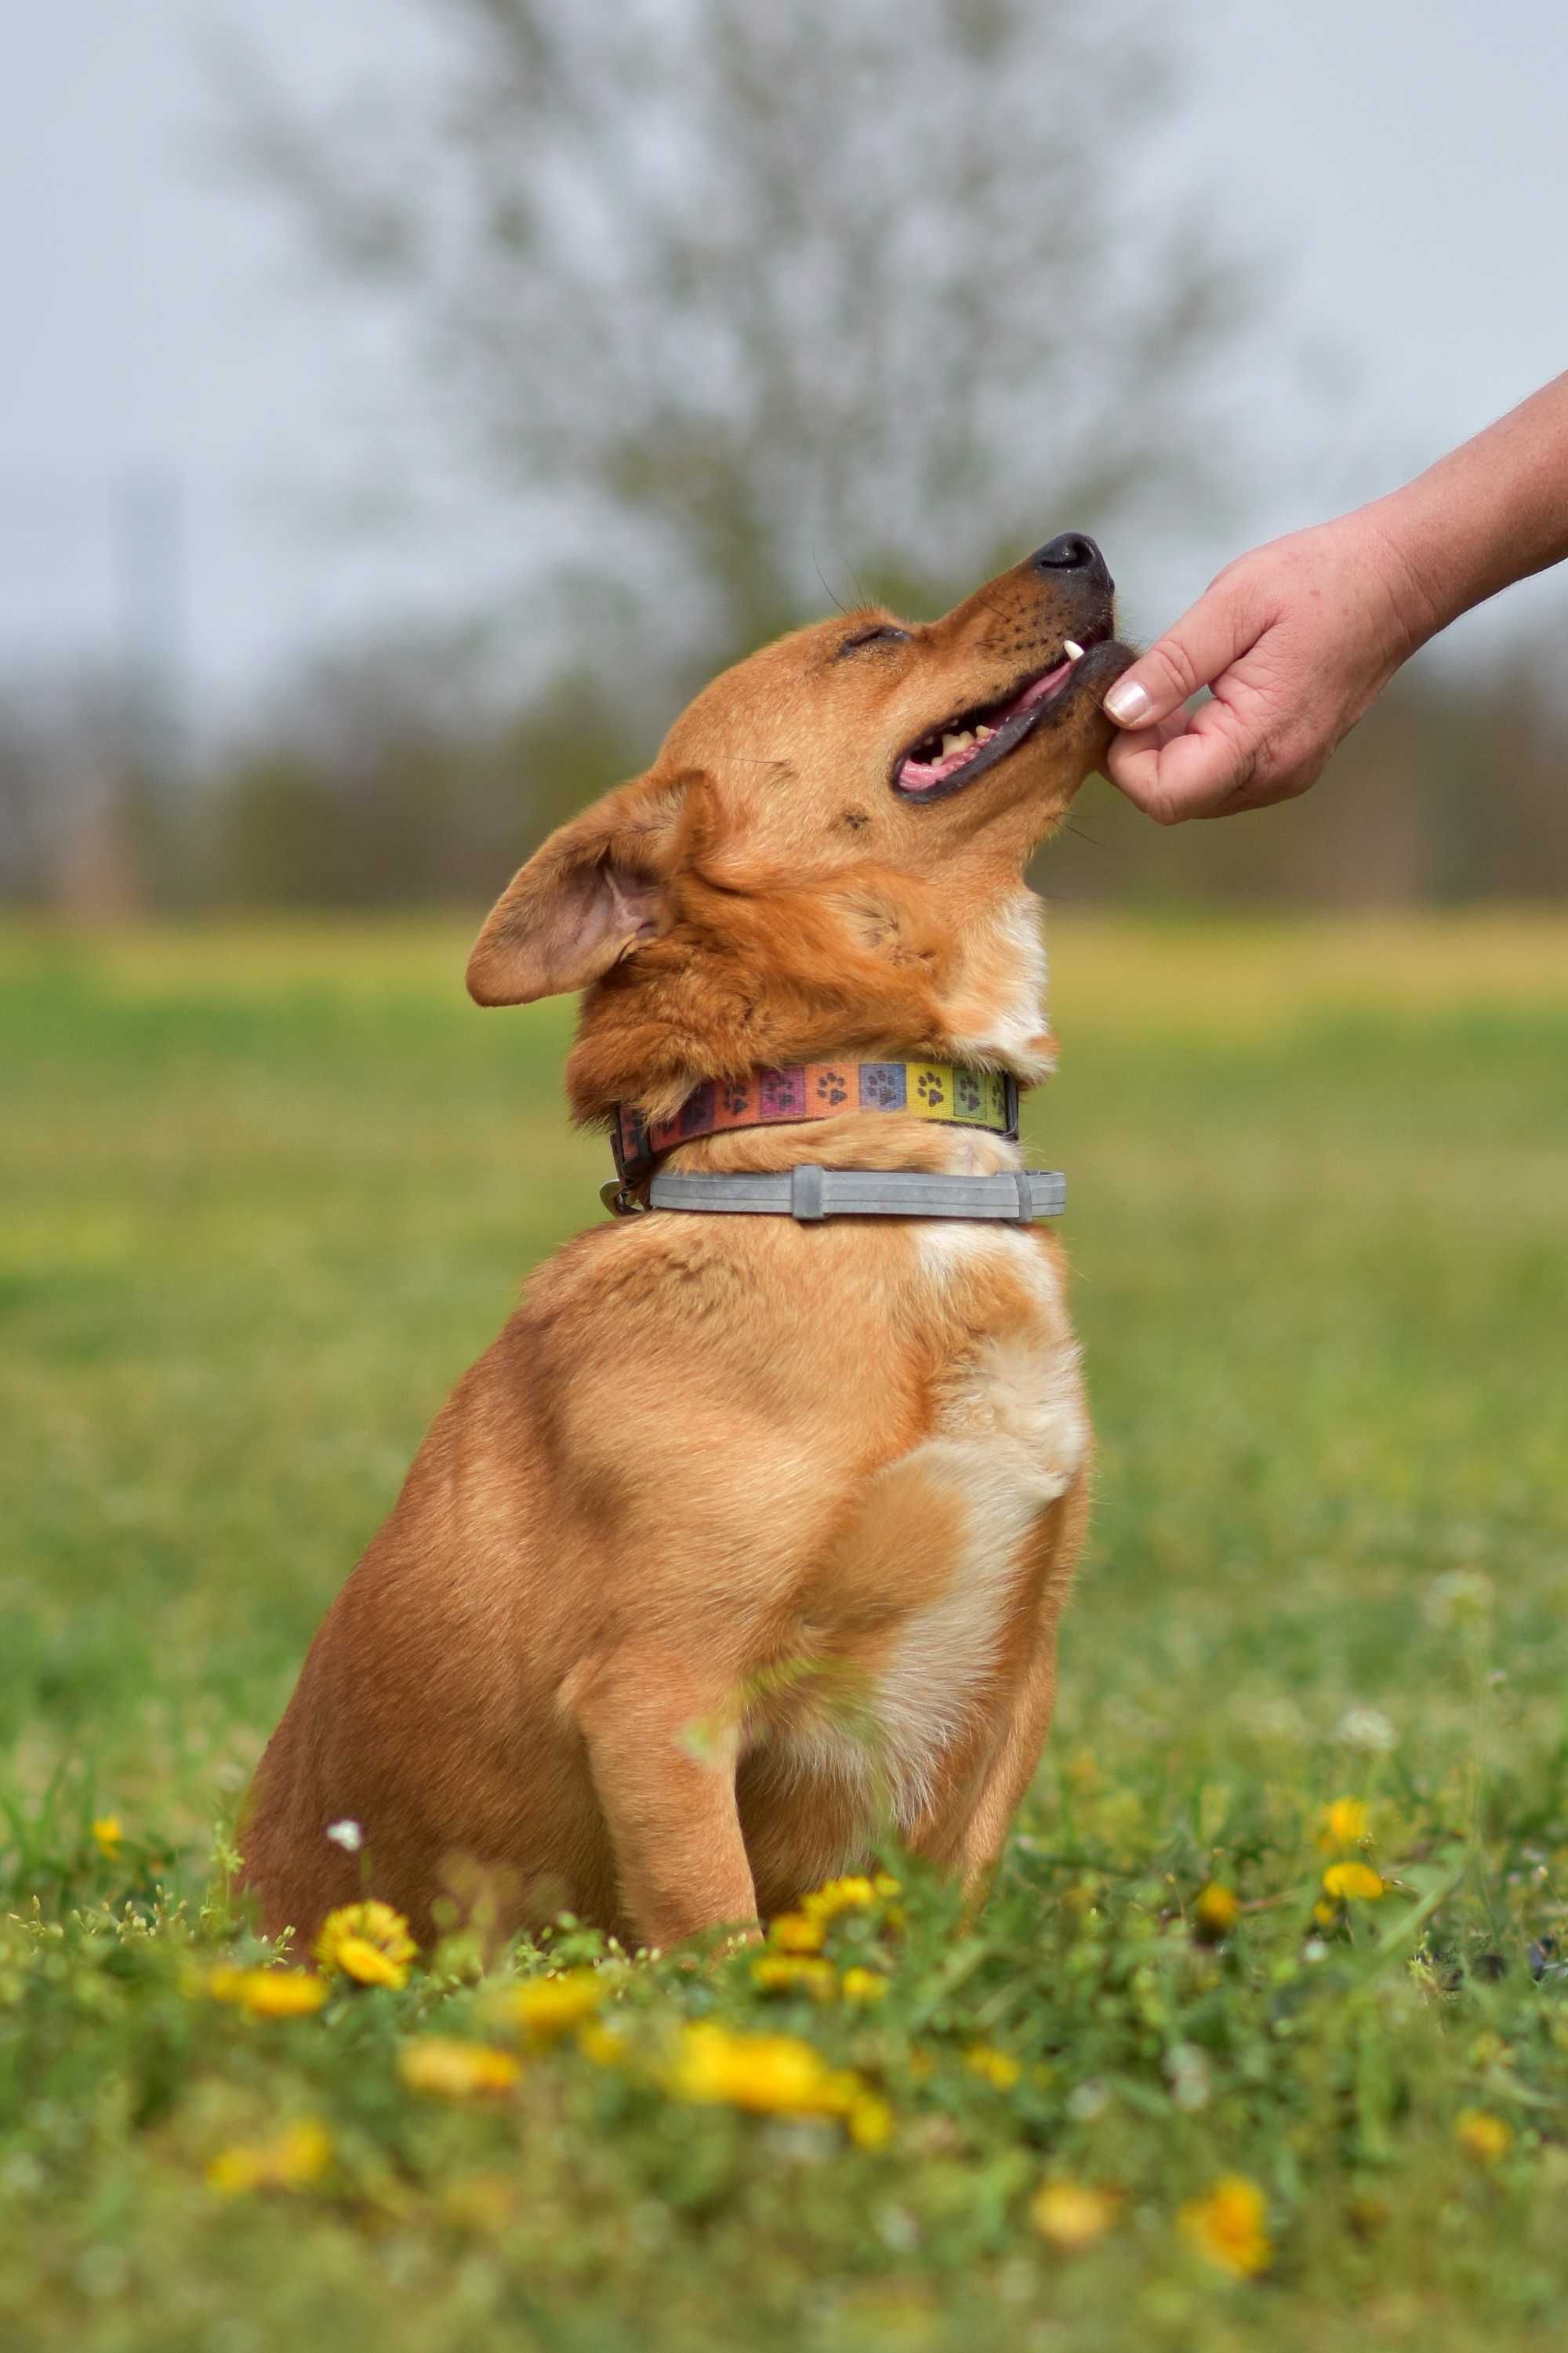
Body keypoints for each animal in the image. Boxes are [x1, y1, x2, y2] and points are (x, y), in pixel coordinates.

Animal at [238, 541, 1130, 1957]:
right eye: (867, 641)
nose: (1080, 548)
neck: (867, 1172)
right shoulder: (662, 1701)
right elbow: (719, 1940)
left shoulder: (1013, 1685)